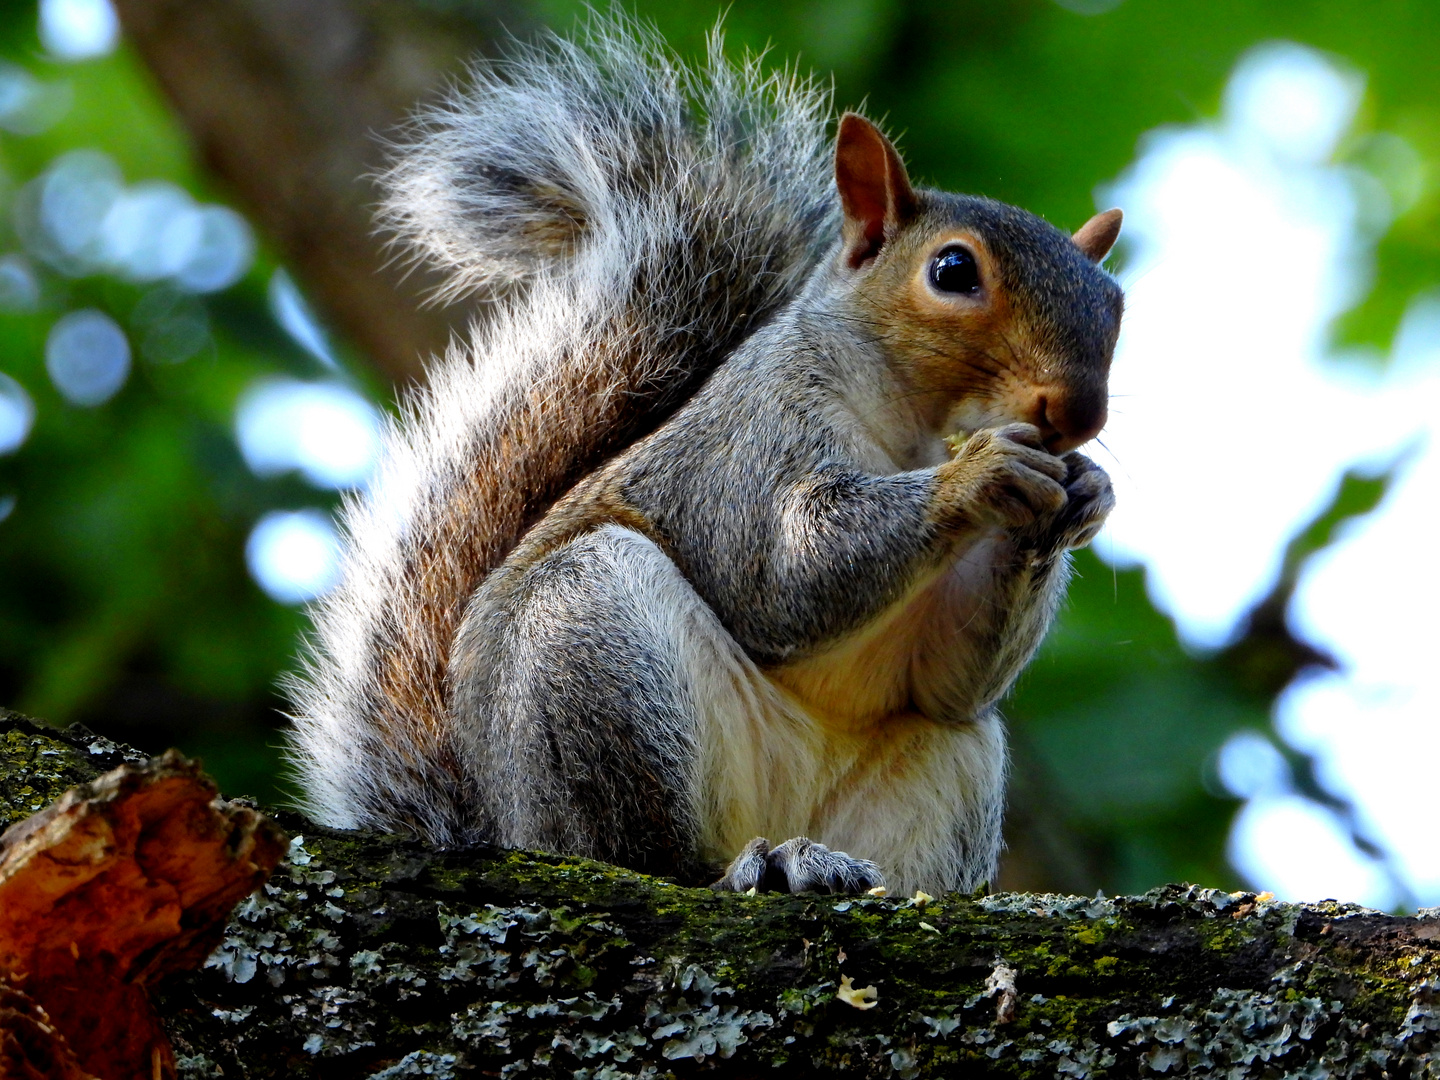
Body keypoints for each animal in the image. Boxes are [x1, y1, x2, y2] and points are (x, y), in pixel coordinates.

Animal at [283, 16, 1123, 898]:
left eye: (1115, 303)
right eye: (952, 269)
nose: (1078, 414)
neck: (915, 434)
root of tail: (503, 825)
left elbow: (949, 679)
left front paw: (1082, 493)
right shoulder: (743, 449)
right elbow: (783, 571)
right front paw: (981, 475)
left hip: (946, 767)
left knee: (943, 748)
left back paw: (822, 864)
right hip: (589, 641)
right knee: (649, 855)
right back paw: (748, 866)